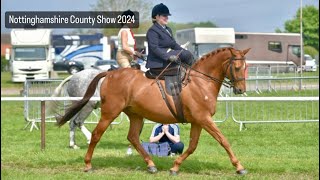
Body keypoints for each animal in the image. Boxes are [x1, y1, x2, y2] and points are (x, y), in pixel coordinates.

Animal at [57, 47, 250, 175]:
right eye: (237, 68)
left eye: (246, 68)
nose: (240, 90)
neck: (200, 82)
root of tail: (110, 74)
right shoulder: (204, 118)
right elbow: (223, 140)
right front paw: (239, 166)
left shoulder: (198, 121)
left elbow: (192, 146)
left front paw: (175, 166)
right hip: (109, 112)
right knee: (95, 133)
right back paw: (88, 164)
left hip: (135, 115)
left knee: (133, 137)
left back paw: (151, 165)